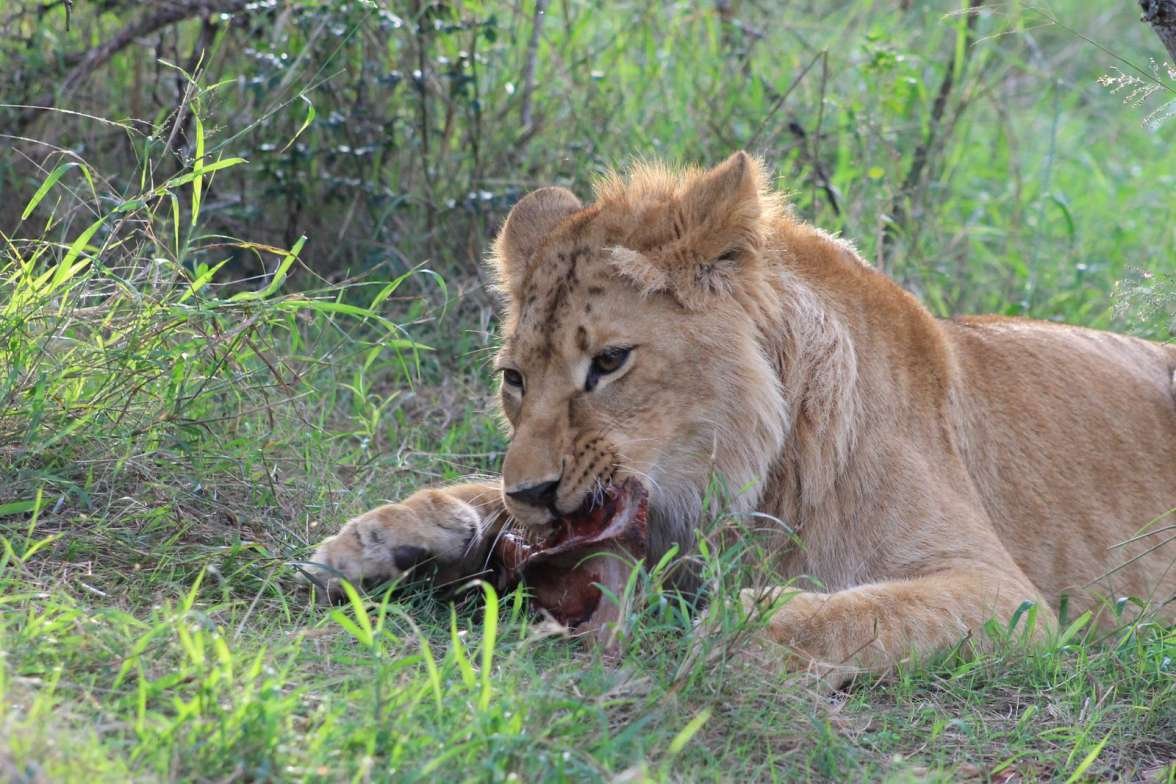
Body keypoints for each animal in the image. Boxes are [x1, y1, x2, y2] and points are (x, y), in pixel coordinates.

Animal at [305, 155, 1176, 681]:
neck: (737, 480)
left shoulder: (1008, 598)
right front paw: (382, 540)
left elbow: (855, 612)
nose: (535, 493)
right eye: (515, 379)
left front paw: (732, 628)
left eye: (609, 362)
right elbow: (475, 492)